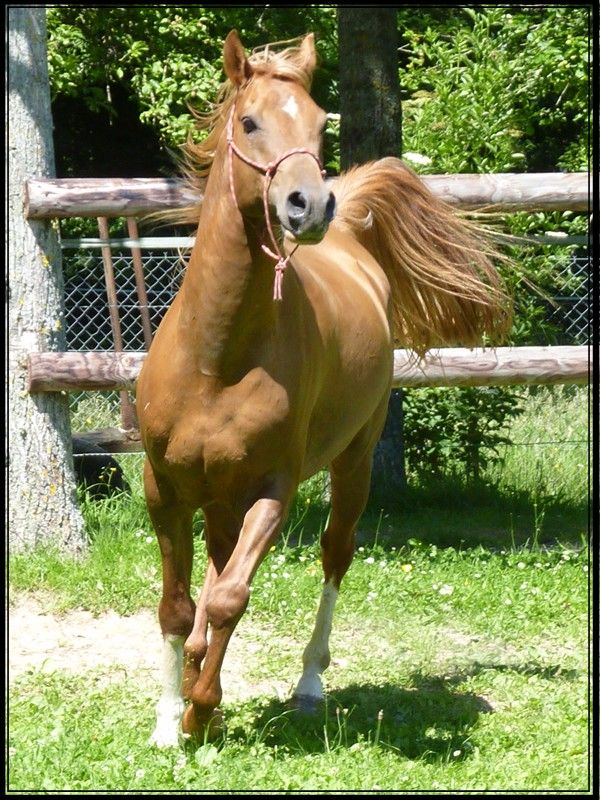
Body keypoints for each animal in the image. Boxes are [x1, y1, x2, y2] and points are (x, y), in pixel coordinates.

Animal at [136, 30, 509, 747]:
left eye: (317, 126)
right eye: (250, 122)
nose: (309, 205)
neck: (215, 359)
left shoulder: (273, 488)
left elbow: (229, 598)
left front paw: (200, 709)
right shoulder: (164, 488)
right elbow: (178, 605)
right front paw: (170, 720)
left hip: (353, 460)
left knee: (334, 555)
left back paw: (308, 683)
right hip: (218, 496)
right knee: (216, 573)